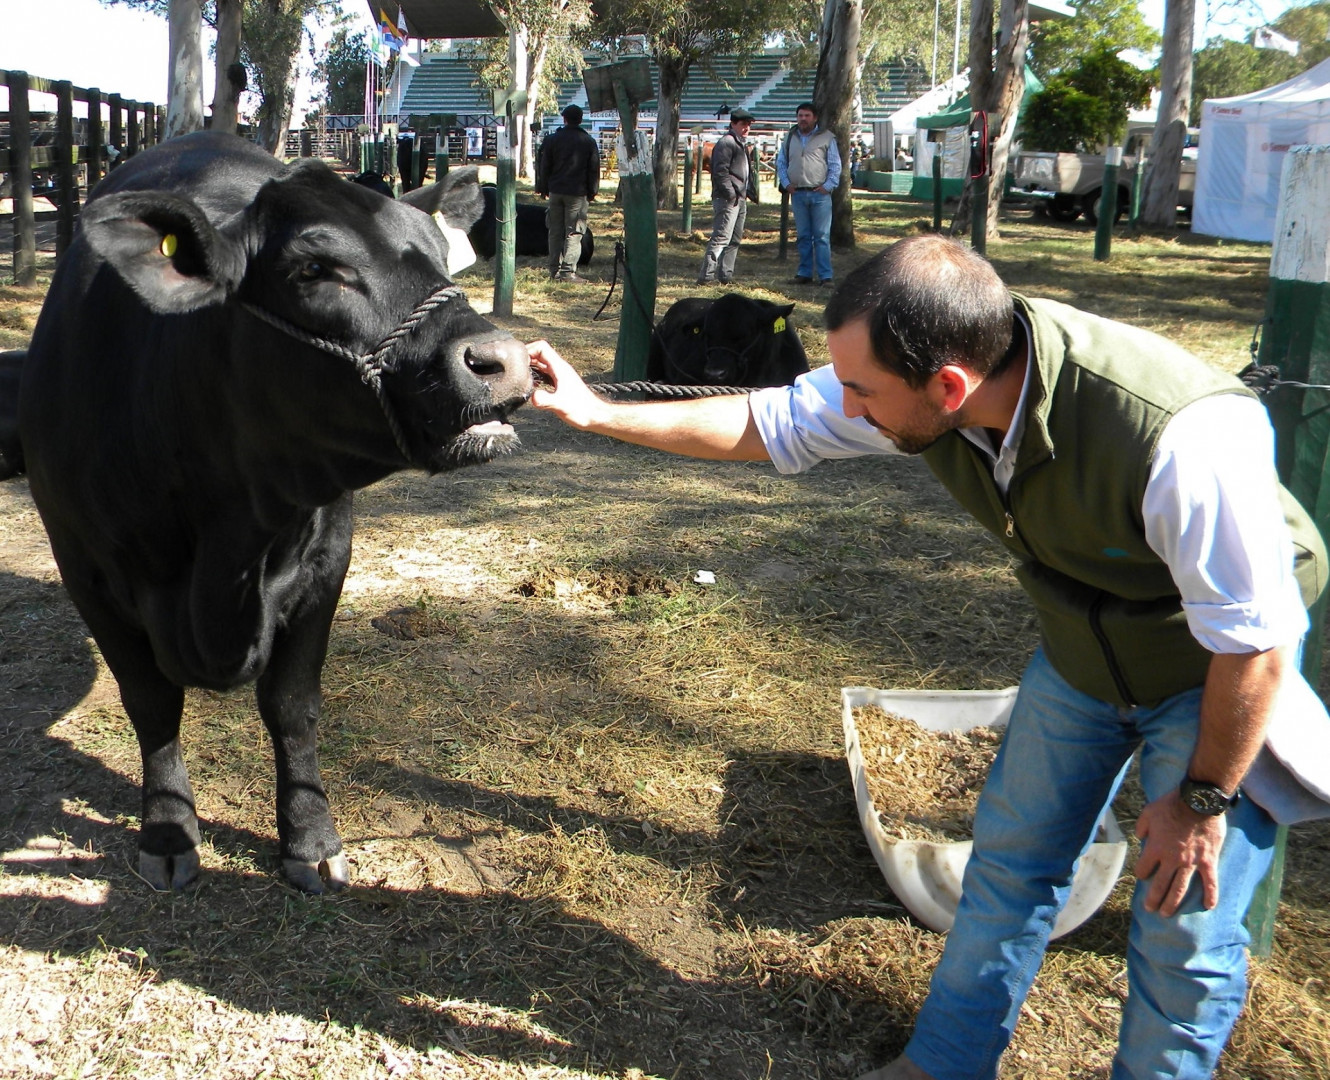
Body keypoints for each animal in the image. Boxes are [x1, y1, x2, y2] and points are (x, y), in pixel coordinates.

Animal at [15, 131, 532, 893]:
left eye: (441, 257)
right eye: (316, 269)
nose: (504, 361)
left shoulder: (326, 560)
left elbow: (291, 706)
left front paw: (310, 838)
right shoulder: (86, 573)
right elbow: (150, 704)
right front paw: (167, 831)